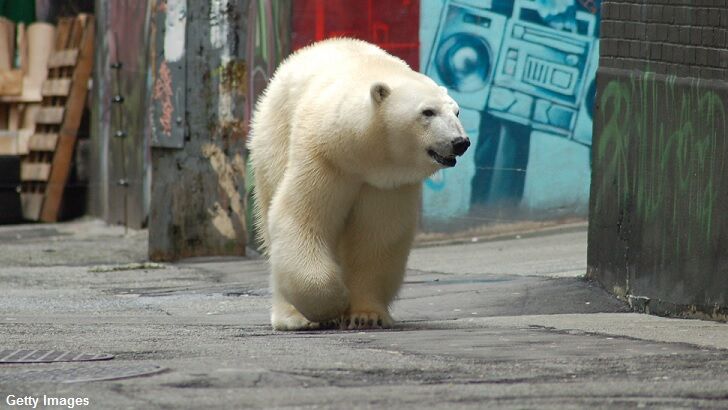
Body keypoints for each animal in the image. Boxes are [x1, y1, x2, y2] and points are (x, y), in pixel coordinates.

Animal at [247, 38, 470, 332]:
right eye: (427, 112)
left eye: (456, 111)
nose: (460, 142)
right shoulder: (324, 156)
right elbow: (301, 217)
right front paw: (333, 303)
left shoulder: (387, 182)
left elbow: (376, 238)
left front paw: (365, 315)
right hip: (274, 137)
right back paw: (293, 317)